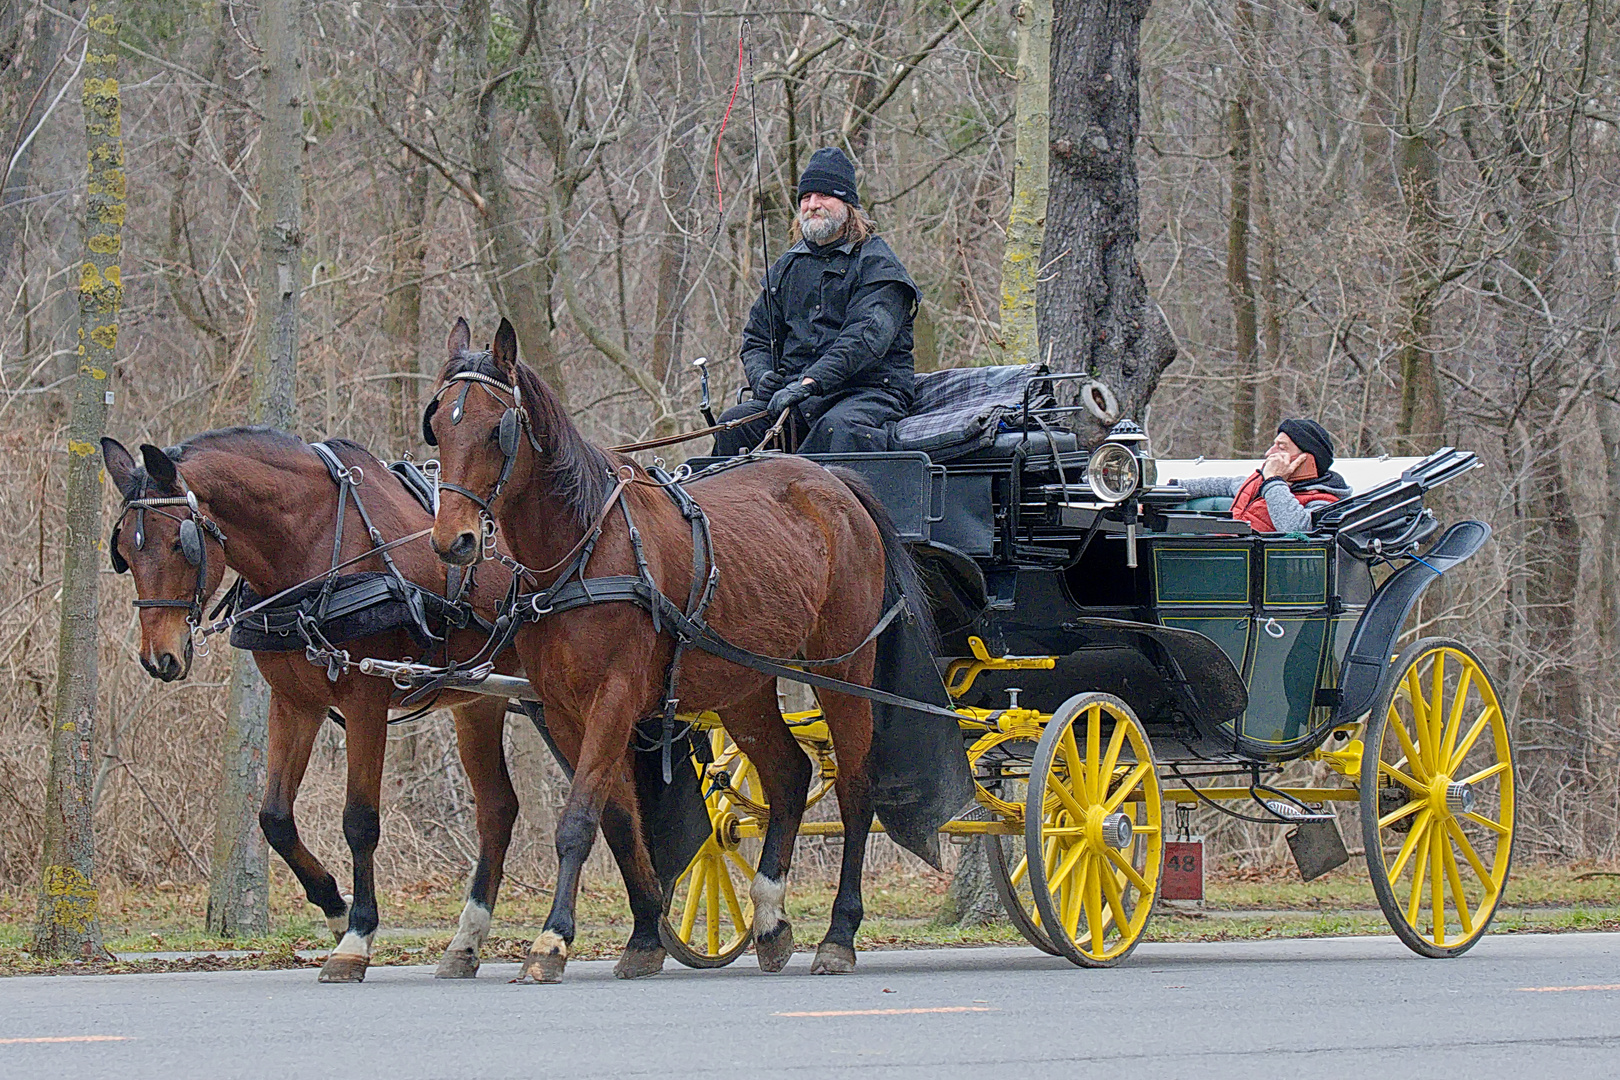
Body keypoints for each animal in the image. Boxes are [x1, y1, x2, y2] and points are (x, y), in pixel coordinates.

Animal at [96, 427, 644, 977]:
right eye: (123, 550)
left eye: (180, 543)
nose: (159, 658)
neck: (318, 544)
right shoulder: (295, 702)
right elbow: (274, 818)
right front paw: (334, 909)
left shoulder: (365, 699)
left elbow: (359, 820)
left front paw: (356, 936)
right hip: (483, 698)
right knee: (502, 809)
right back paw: (469, 940)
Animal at [424, 317, 926, 984]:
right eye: (438, 424)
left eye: (494, 428)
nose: (452, 540)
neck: (583, 546)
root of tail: (835, 481)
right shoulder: (564, 709)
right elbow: (616, 820)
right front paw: (643, 936)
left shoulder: (614, 698)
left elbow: (577, 821)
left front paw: (552, 941)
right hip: (742, 685)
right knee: (789, 776)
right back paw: (770, 922)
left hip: (844, 666)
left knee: (855, 789)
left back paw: (838, 935)